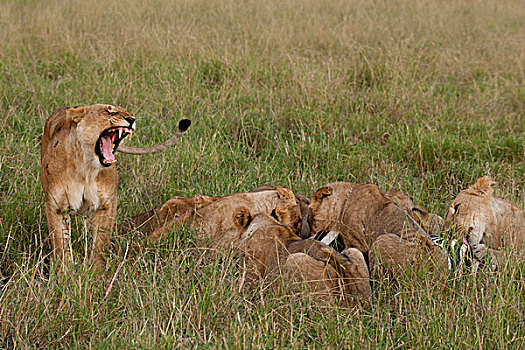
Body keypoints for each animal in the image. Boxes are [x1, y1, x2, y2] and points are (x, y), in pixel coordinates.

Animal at [41, 103, 189, 268]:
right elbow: (61, 246)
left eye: (128, 112)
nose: (132, 119)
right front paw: (65, 272)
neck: (86, 168)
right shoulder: (56, 207)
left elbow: (100, 243)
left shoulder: (106, 204)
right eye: (108, 111)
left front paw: (96, 271)